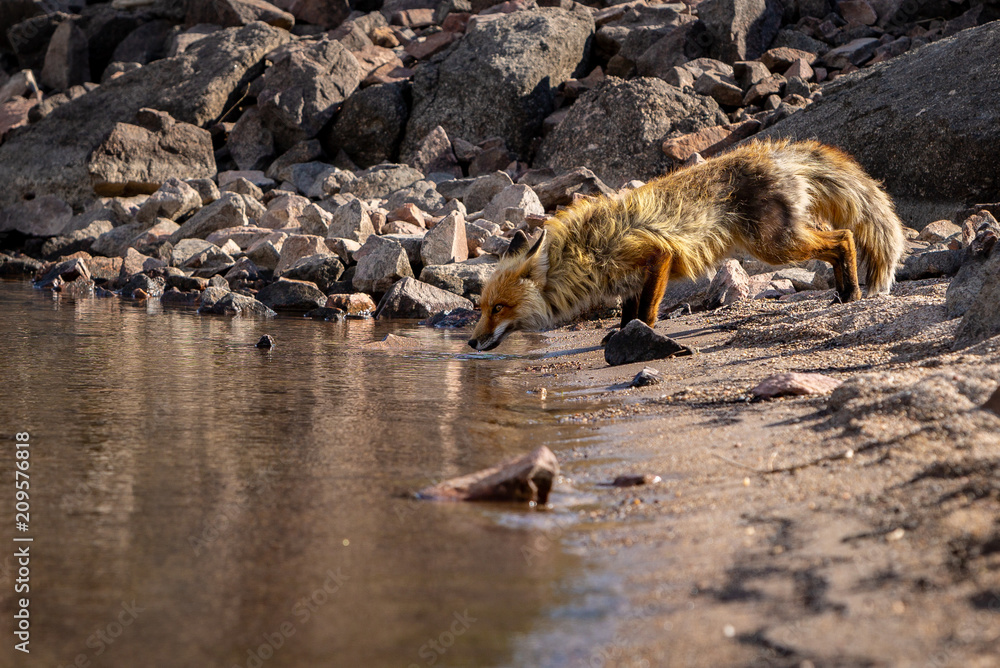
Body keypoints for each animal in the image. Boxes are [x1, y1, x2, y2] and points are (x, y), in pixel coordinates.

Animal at [467, 138, 906, 352]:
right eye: (481, 308)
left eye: (498, 308)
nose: (470, 342)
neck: (582, 251)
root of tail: (774, 155)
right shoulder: (628, 279)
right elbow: (628, 313)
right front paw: (622, 336)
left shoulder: (656, 254)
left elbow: (646, 311)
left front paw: (641, 335)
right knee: (842, 239)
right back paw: (843, 292)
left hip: (776, 246)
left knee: (844, 238)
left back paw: (852, 292)